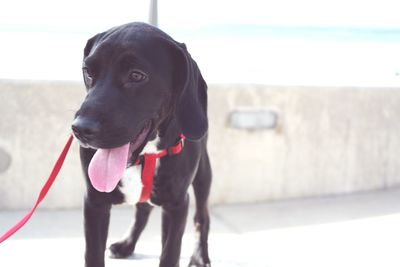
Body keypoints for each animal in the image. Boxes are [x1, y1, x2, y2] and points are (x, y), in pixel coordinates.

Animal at [70, 23, 211, 267]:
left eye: (136, 75)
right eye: (88, 71)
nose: (80, 129)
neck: (145, 155)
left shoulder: (177, 204)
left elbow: (170, 254)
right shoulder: (94, 202)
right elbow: (93, 254)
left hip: (203, 178)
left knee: (202, 217)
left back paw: (200, 255)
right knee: (143, 211)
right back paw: (126, 245)